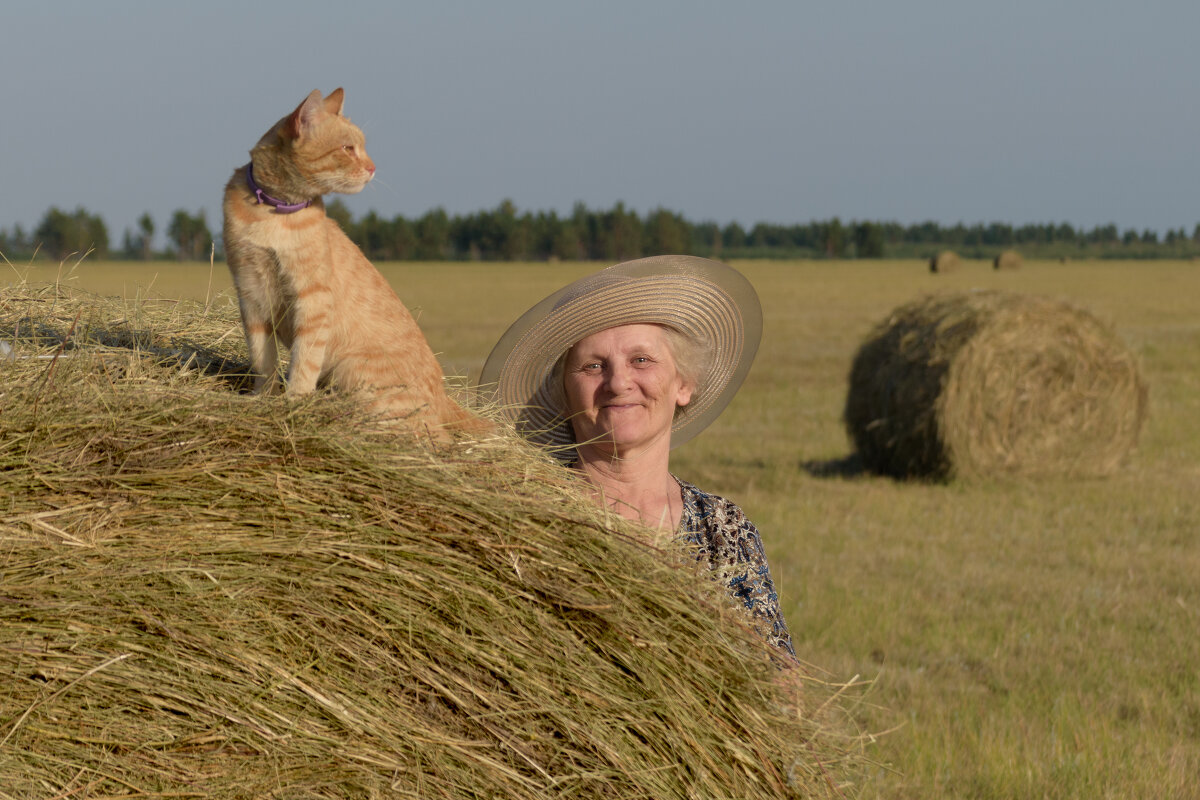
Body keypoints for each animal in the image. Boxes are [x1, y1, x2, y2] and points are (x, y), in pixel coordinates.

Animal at [223, 87, 484, 438]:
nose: (373, 168)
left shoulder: (313, 298)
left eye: (362, 147)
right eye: (348, 148)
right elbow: (261, 358)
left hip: (352, 371)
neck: (273, 212)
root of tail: (444, 395)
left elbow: (304, 360)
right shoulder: (251, 292)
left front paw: (295, 403)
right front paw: (261, 399)